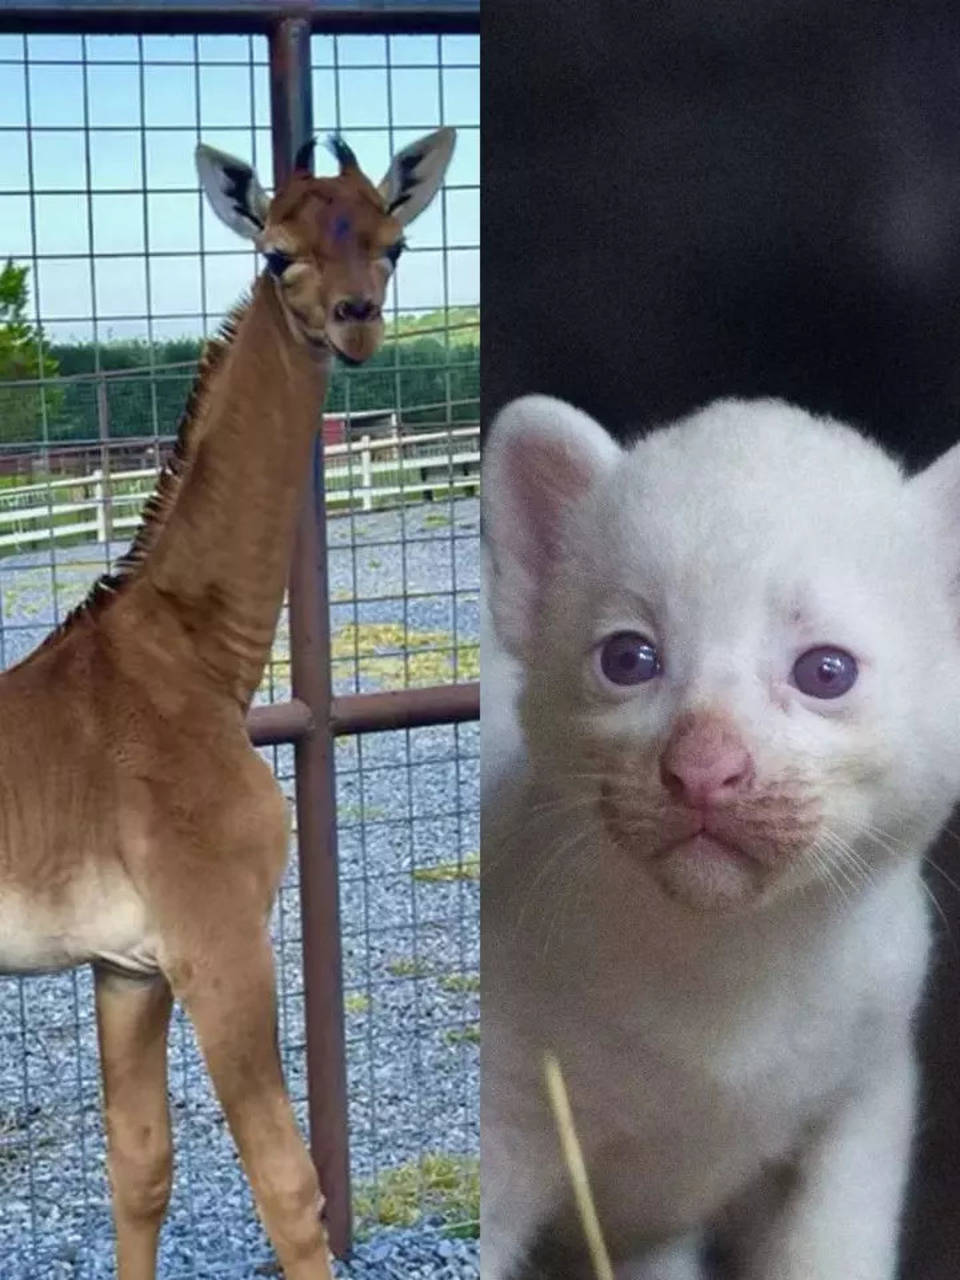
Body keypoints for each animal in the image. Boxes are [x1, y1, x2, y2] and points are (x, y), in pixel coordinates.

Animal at [0, 127, 455, 1280]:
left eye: (391, 239)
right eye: (277, 255)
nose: (357, 320)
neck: (194, 662)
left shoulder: (128, 967)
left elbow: (141, 1168)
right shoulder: (220, 941)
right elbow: (292, 1188)